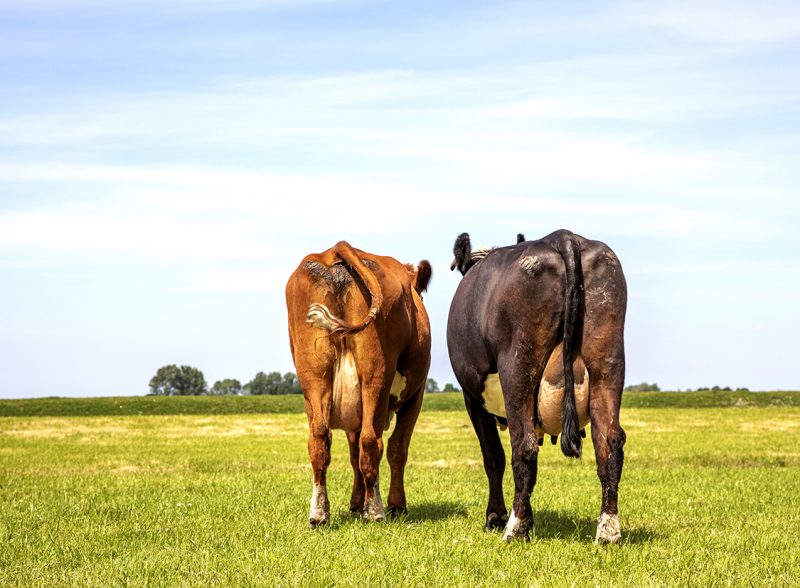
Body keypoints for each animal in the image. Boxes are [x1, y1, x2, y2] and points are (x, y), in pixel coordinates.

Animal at [284, 241, 428, 524]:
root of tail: (337, 248)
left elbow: (353, 455)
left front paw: (355, 502)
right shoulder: (416, 395)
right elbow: (397, 449)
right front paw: (396, 505)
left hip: (314, 375)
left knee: (319, 439)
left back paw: (319, 513)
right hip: (375, 374)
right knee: (372, 441)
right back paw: (375, 510)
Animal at [450, 229, 624, 544]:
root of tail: (563, 237)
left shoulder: (472, 396)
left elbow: (493, 457)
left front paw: (495, 517)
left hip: (517, 364)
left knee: (525, 446)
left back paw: (516, 527)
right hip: (608, 359)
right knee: (610, 442)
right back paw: (607, 530)